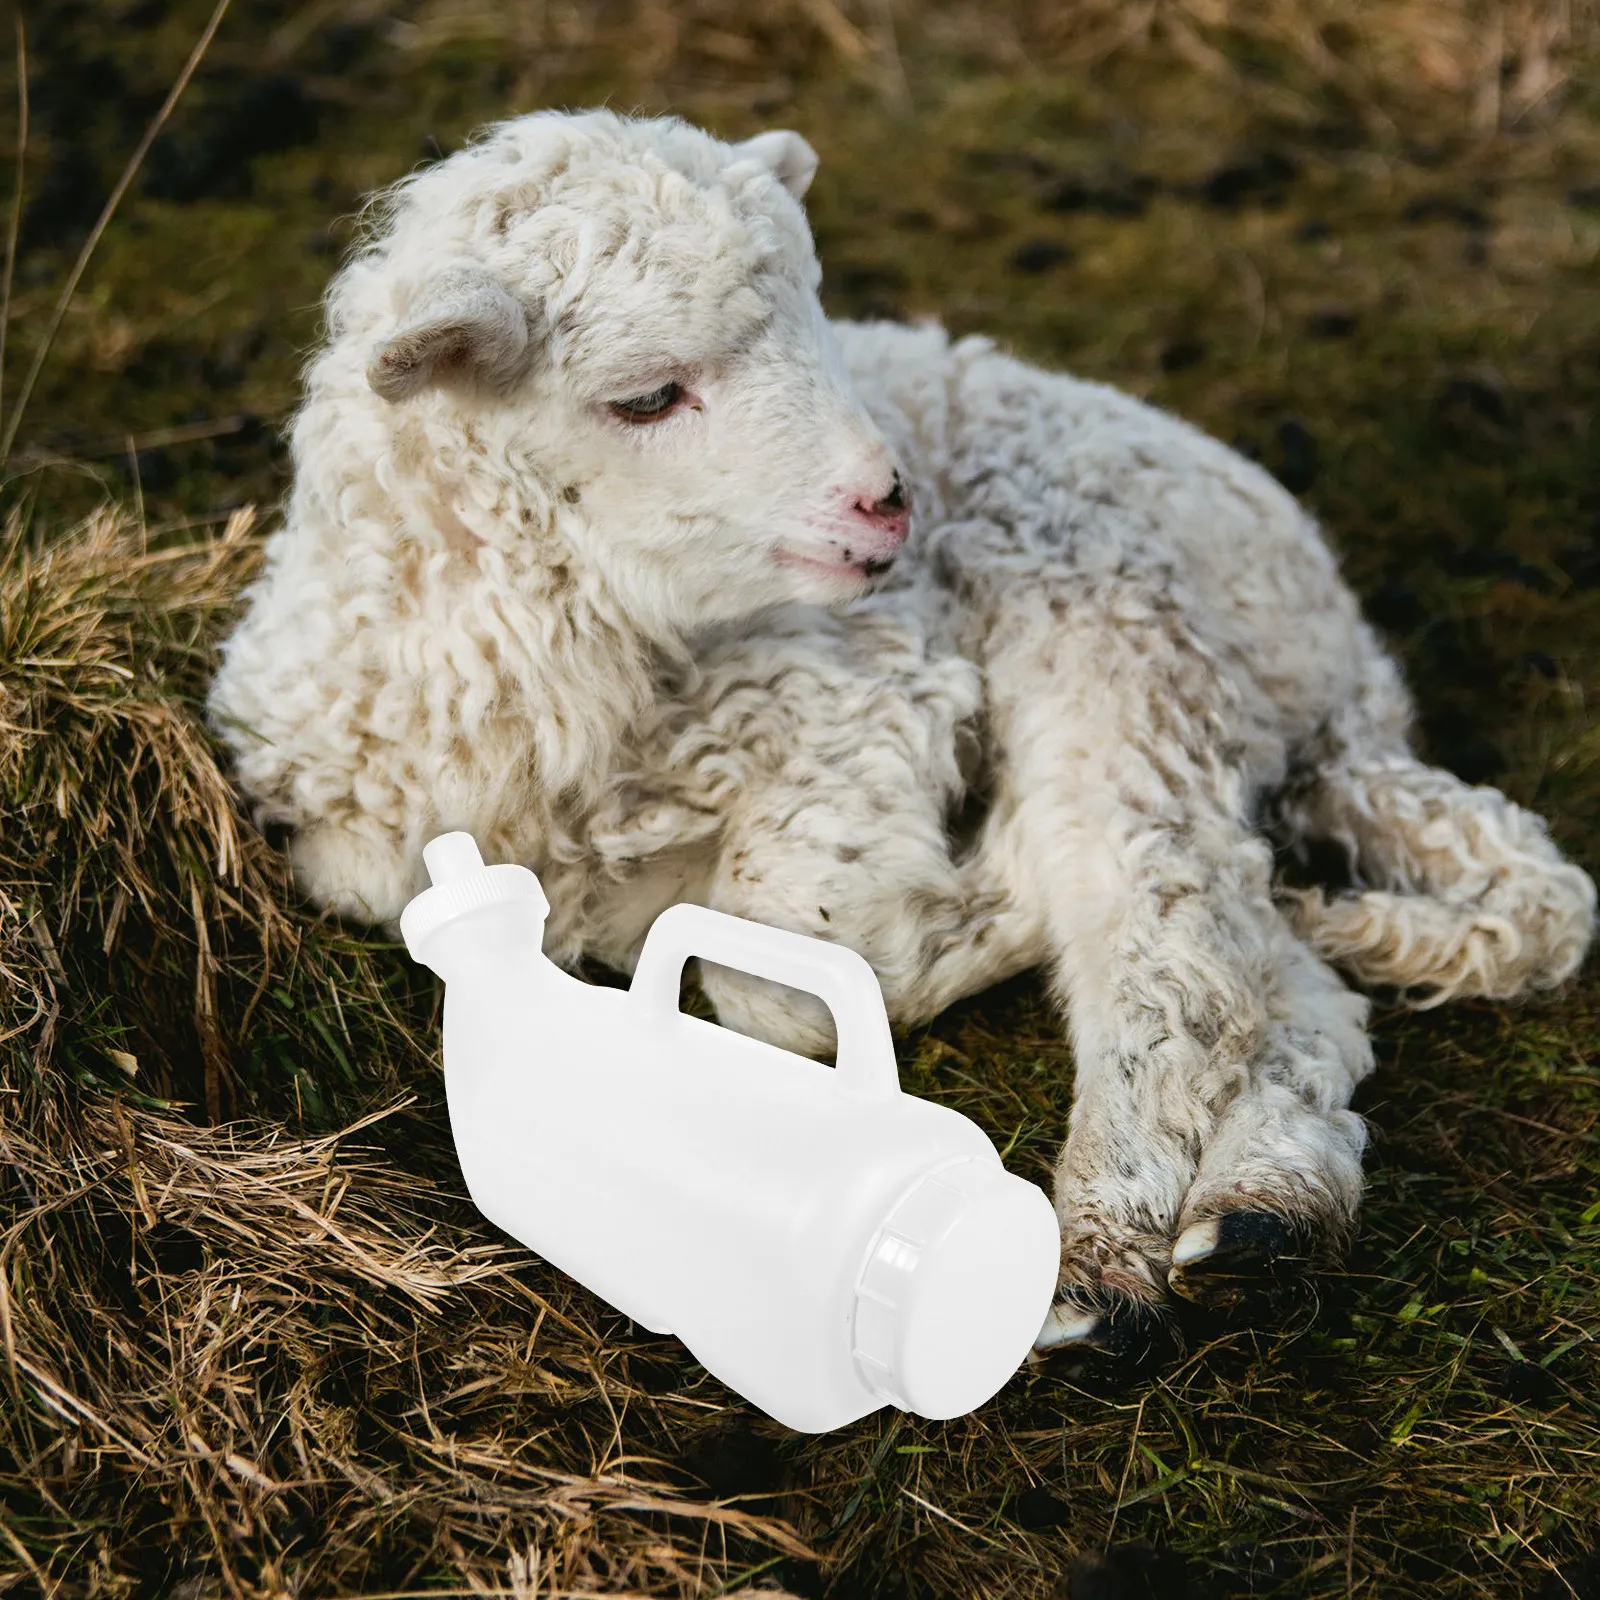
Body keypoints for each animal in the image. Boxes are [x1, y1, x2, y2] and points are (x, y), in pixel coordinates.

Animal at [209, 109, 1596, 1355]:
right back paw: (1265, 1215)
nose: (887, 502)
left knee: (1164, 927)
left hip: (1116, 616)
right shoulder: (354, 844)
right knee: (1280, 970)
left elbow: (777, 956)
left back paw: (1101, 1255)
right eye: (646, 396)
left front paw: (986, 900)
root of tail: (1345, 675)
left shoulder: (872, 692)